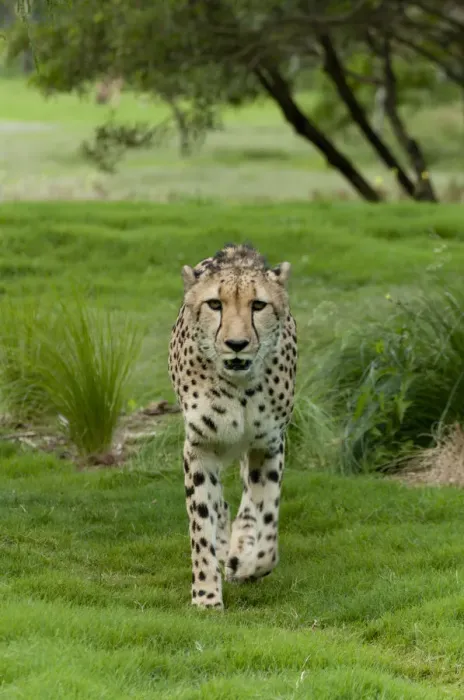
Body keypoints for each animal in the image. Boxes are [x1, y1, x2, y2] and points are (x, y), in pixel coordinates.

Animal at [168, 243, 297, 610]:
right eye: (215, 304)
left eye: (258, 305)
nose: (236, 344)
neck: (239, 386)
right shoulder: (199, 448)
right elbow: (201, 524)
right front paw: (206, 596)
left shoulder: (269, 445)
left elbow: (266, 520)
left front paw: (249, 564)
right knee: (221, 506)